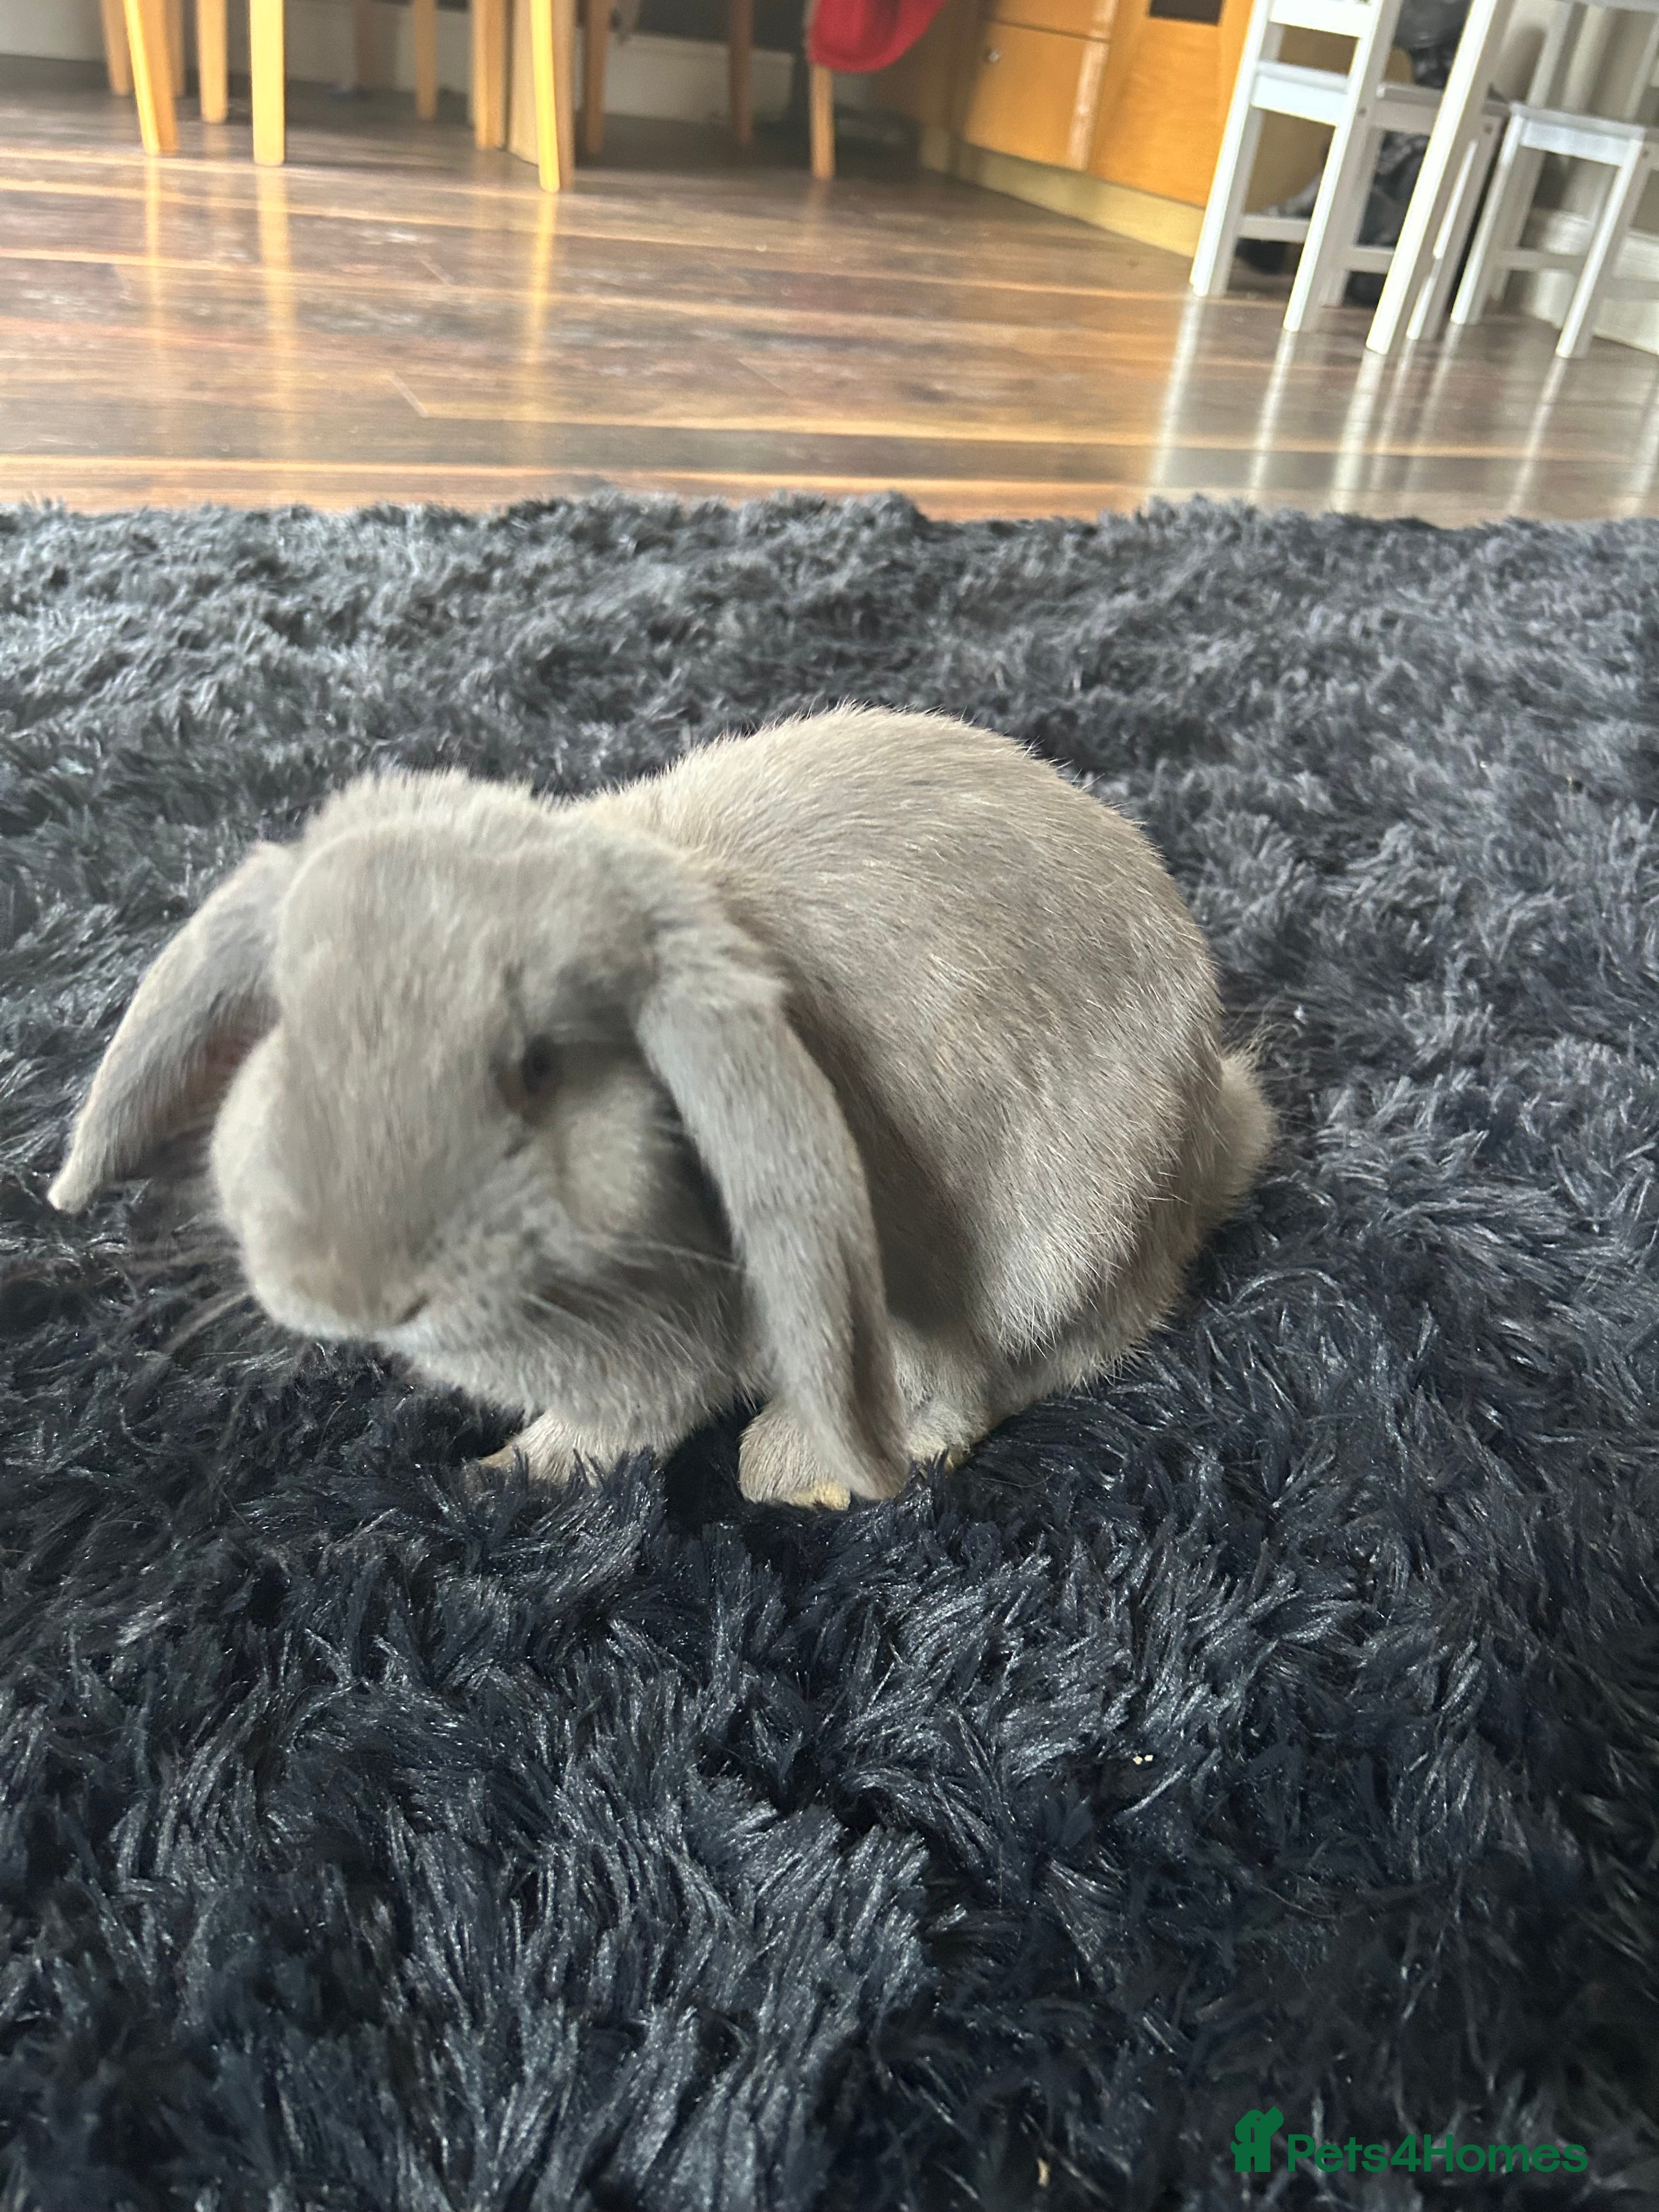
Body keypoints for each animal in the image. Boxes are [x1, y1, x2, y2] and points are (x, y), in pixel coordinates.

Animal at [48, 709, 1273, 1509]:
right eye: (289, 1027)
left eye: (538, 1066)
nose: (342, 1290)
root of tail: (1217, 1113)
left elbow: (612, 1432)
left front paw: (494, 1479)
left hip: (1059, 1241)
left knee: (1017, 1368)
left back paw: (802, 1472)